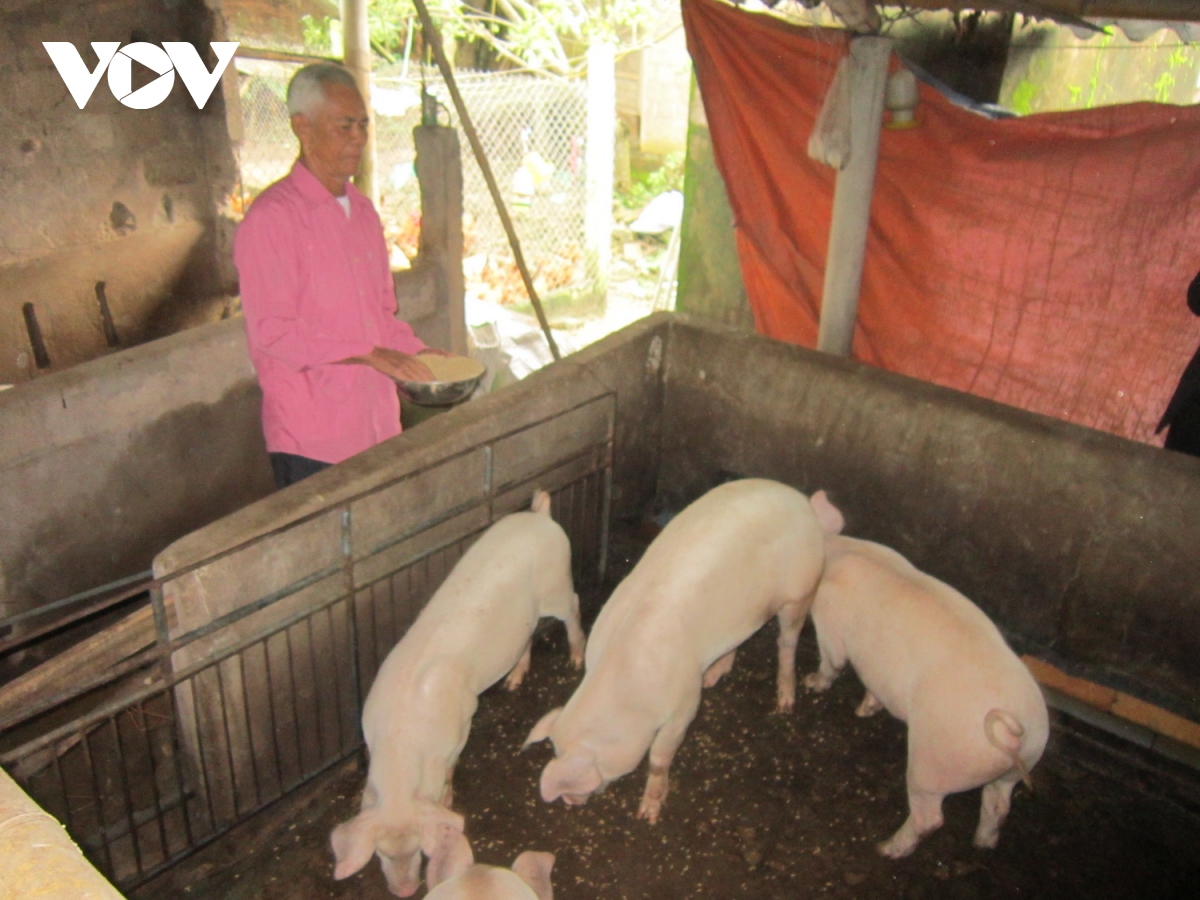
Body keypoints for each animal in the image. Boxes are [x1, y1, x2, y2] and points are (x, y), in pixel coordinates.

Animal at [520, 480, 840, 825]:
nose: (570, 801)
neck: (627, 690)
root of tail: (803, 502)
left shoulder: (684, 705)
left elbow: (659, 757)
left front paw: (648, 815)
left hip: (801, 591)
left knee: (787, 643)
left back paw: (785, 703)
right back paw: (714, 676)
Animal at [806, 501, 1051, 859]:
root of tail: (1011, 731)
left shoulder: (827, 619)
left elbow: (832, 661)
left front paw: (812, 683)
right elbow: (874, 688)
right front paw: (863, 711)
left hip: (934, 763)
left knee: (930, 818)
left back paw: (886, 849)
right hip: (1022, 763)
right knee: (998, 805)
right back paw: (982, 845)